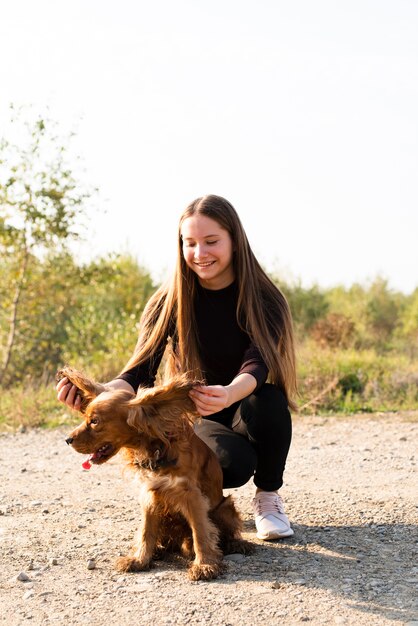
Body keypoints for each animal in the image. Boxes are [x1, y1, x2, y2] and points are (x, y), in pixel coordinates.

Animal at [57, 364, 250, 576]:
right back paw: (158, 550)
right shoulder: (150, 493)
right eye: (86, 417)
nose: (67, 439)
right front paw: (139, 559)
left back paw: (236, 544)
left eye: (95, 421)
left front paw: (204, 565)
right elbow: (146, 531)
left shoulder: (192, 496)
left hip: (225, 507)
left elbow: (200, 531)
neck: (153, 449)